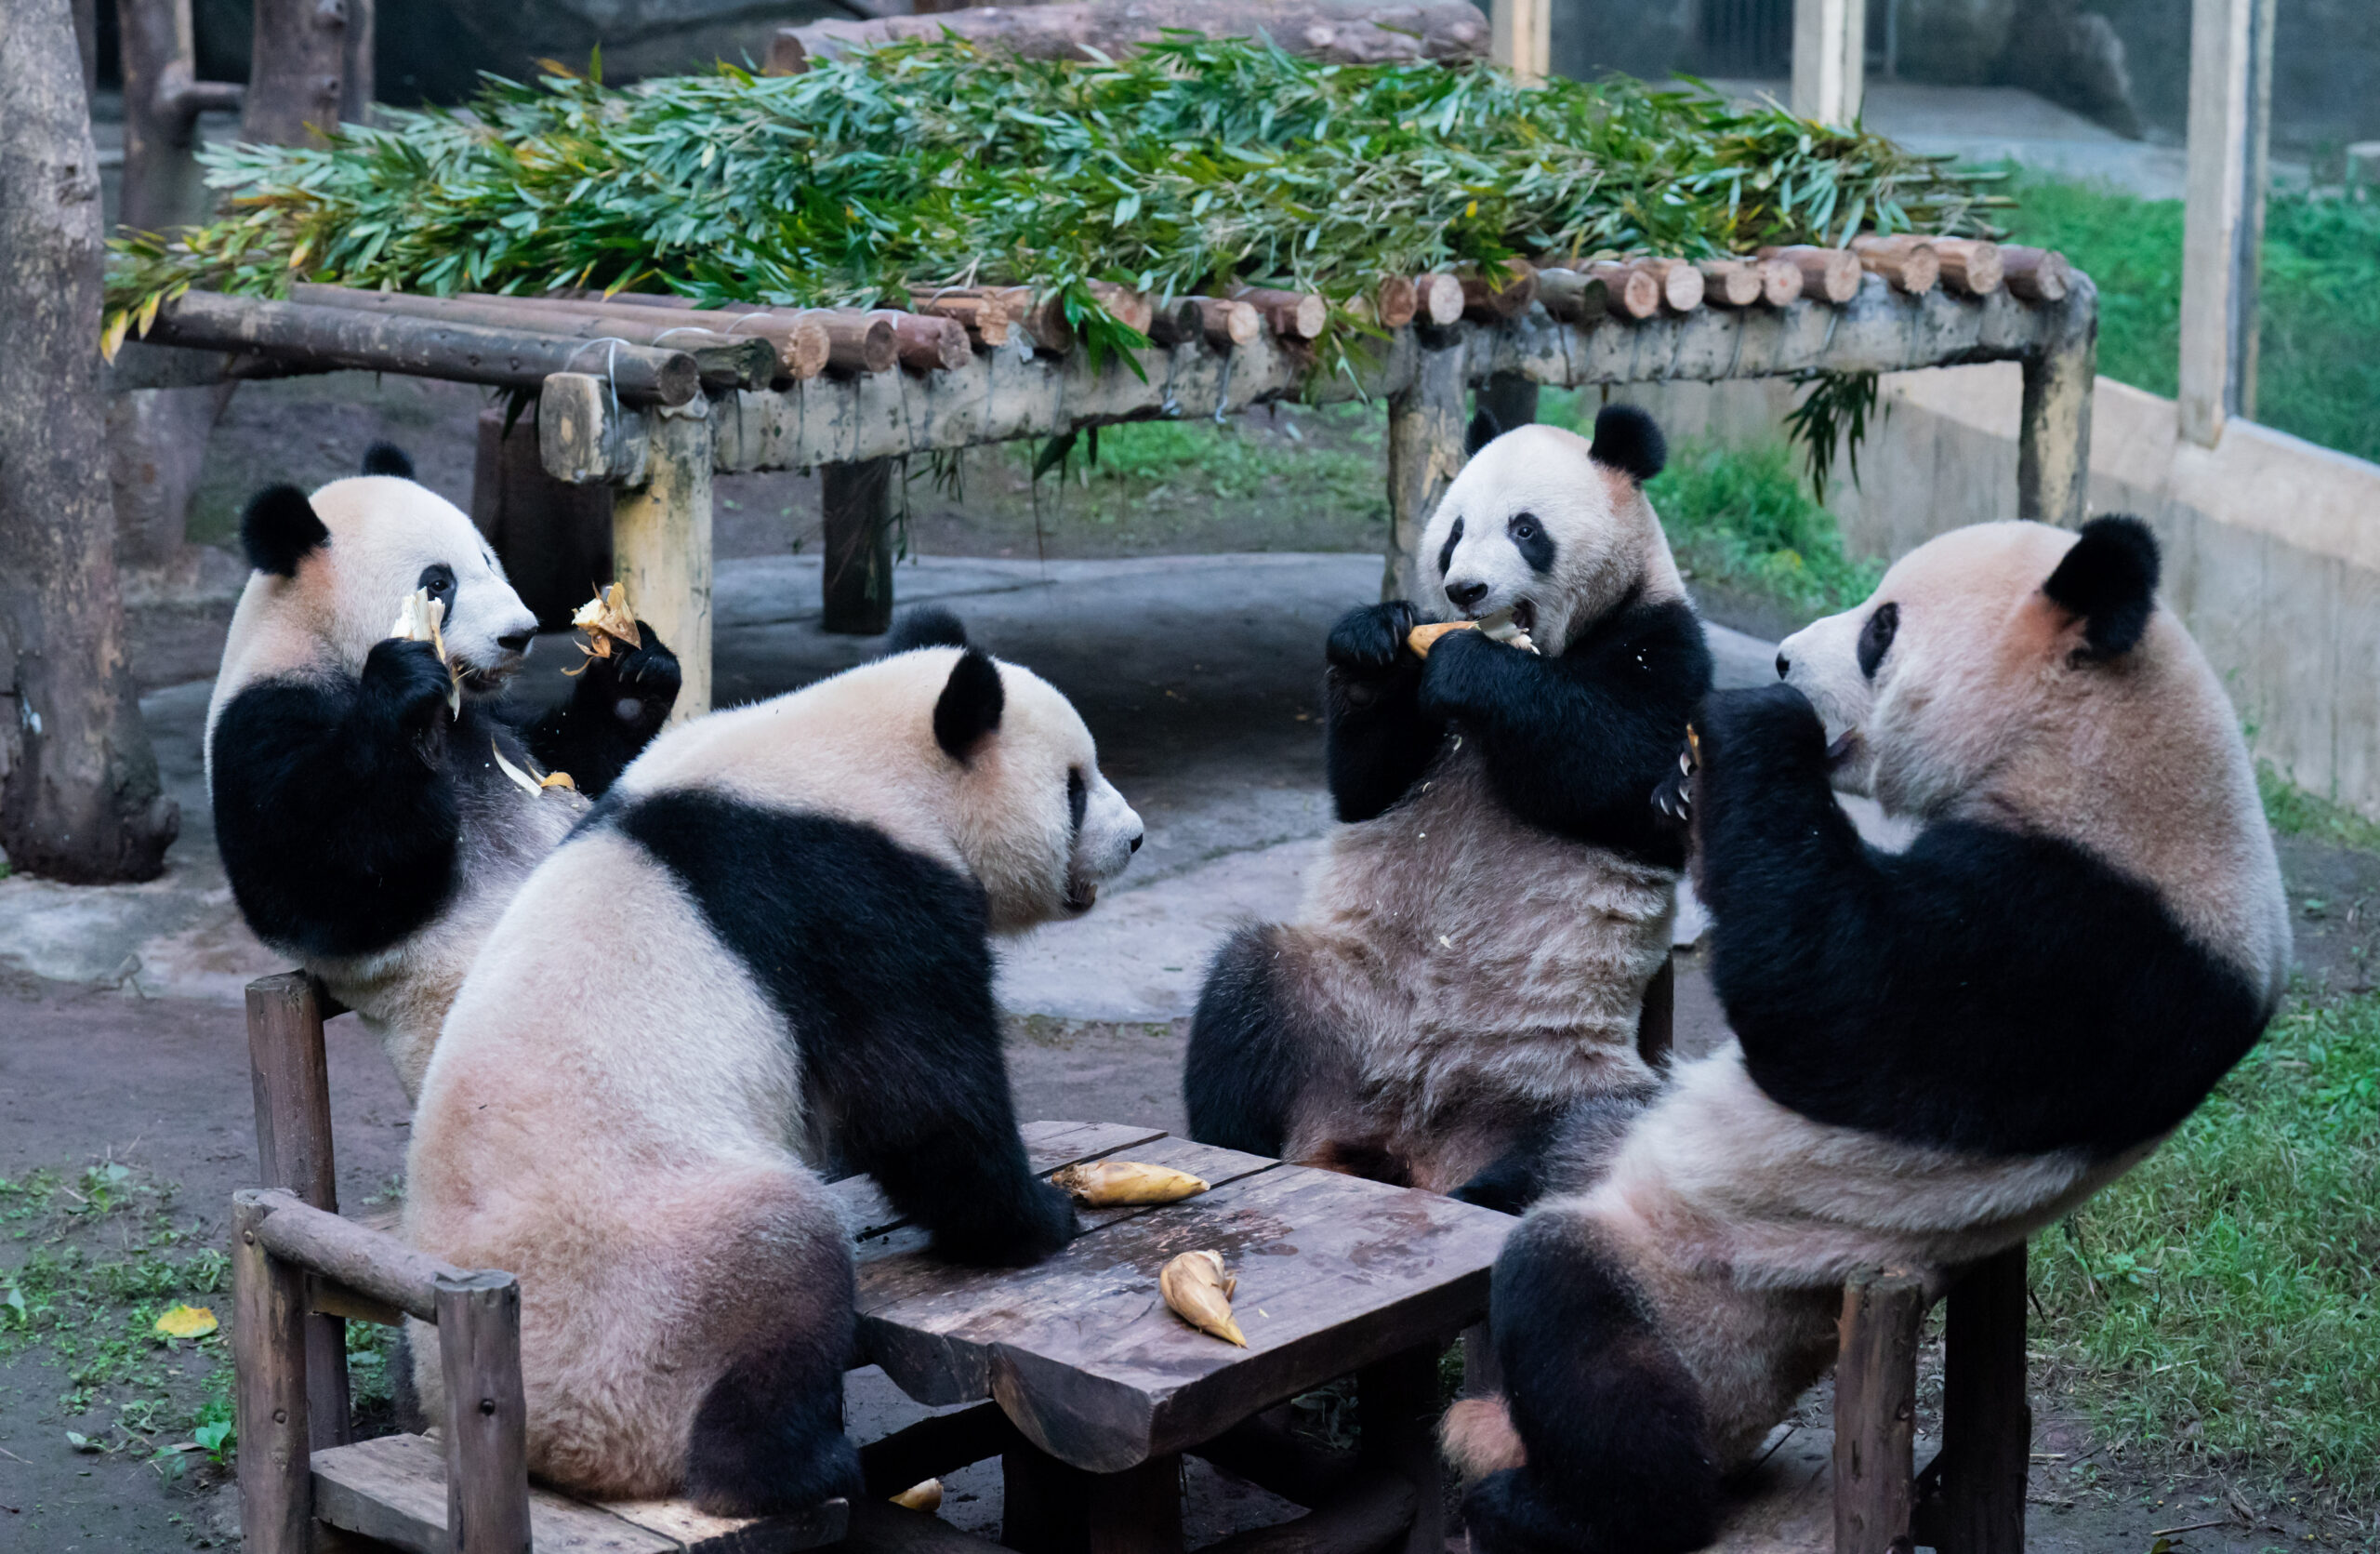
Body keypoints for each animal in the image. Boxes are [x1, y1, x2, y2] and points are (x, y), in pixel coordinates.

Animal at [205, 442, 681, 1095]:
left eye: (487, 558)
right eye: (439, 582)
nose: (521, 634)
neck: (317, 639)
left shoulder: (499, 724)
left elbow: (579, 763)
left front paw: (635, 670)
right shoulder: (261, 720)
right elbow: (316, 878)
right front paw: (404, 688)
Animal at [402, 614, 1142, 1513]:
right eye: (1075, 785)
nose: (1134, 838)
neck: (855, 761)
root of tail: (546, 1446)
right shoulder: (851, 898)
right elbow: (921, 1099)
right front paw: (1038, 1217)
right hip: (654, 1281)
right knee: (786, 1269)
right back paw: (804, 1469)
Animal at [1184, 406, 1713, 1194]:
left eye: (1526, 528)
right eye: (1455, 530)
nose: (1464, 589)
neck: (1549, 647)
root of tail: (1408, 1146)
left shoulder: (1667, 646)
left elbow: (1618, 769)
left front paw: (1471, 669)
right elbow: (1367, 785)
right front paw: (1371, 642)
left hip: (1563, 1064)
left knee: (1596, 1132)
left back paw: (1491, 1185)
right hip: (1334, 997)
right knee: (1242, 997)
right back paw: (1238, 1145)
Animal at [1447, 518, 2284, 1551]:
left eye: (1882, 629)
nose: (1779, 658)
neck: (2096, 748)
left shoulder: (2091, 943)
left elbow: (1830, 1003)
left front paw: (1753, 723)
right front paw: (1681, 785)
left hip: (1709, 1296)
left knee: (1577, 1323)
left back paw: (1560, 1509)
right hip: (1616, 1145)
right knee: (1554, 1145)